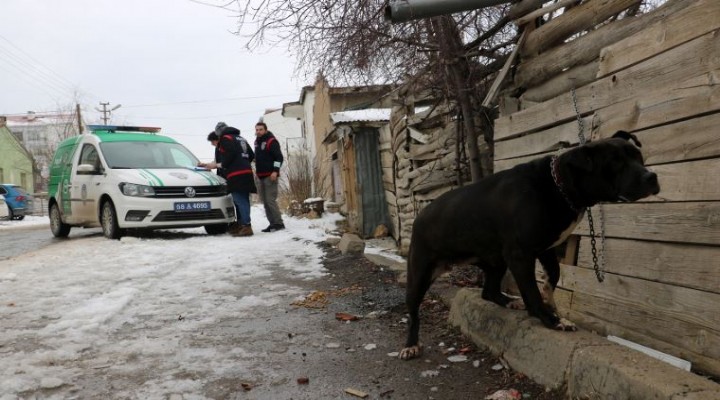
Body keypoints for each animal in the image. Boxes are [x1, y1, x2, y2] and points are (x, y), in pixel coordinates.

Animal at [396, 131, 660, 360]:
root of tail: (419, 216)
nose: (652, 177)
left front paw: (551, 303)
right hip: (419, 273)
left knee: (488, 291)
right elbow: (531, 291)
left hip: (496, 262)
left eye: (638, 156)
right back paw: (410, 345)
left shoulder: (546, 249)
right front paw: (552, 320)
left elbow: (553, 276)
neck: (559, 185)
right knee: (413, 312)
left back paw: (509, 301)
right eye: (614, 163)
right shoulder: (521, 255)